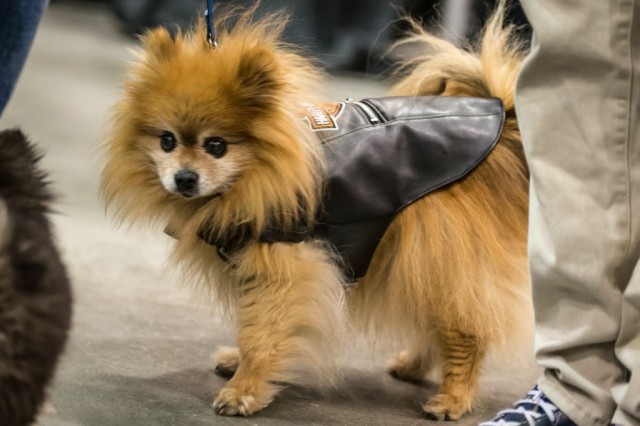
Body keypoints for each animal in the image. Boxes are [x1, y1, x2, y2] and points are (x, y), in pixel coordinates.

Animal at [100, 2, 528, 422]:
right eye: (167, 141)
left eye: (216, 146)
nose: (184, 178)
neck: (254, 177)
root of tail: (502, 119)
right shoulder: (252, 267)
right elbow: (250, 323)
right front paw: (238, 364)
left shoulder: (285, 268)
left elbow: (262, 334)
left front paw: (245, 390)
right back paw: (413, 366)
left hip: (436, 253)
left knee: (465, 330)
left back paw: (452, 398)